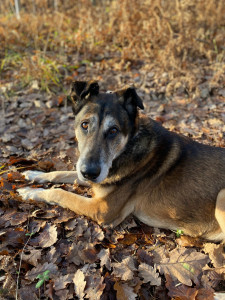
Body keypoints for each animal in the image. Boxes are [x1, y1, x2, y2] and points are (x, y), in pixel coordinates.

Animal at [18, 79, 225, 241]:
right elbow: (60, 173)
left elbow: (61, 193)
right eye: (84, 125)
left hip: (221, 198)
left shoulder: (102, 209)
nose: (89, 173)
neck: (127, 149)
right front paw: (34, 174)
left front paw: (30, 192)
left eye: (113, 130)